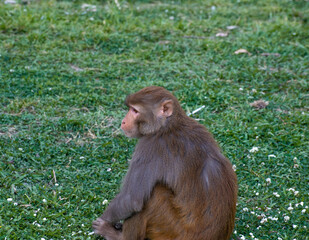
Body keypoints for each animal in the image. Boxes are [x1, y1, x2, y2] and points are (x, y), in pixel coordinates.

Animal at [92, 86, 237, 240]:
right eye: (130, 108)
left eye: (135, 111)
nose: (123, 122)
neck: (169, 124)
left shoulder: (150, 146)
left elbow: (132, 199)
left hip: (170, 229)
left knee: (155, 194)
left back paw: (117, 236)